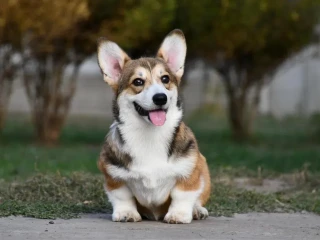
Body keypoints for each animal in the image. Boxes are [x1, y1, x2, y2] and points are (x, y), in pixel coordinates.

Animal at [97, 29, 212, 223]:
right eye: (138, 82)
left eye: (165, 78)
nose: (160, 98)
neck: (150, 134)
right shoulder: (113, 173)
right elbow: (122, 196)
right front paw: (126, 213)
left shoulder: (190, 169)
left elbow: (183, 194)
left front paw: (179, 215)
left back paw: (197, 210)